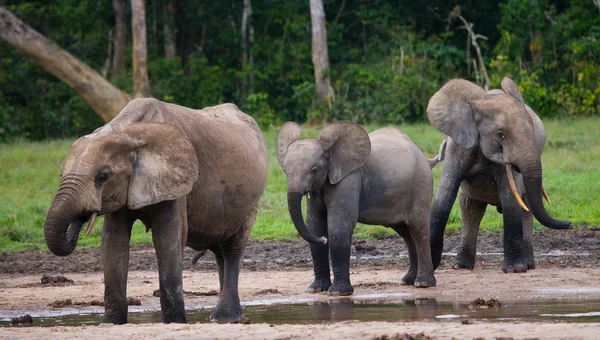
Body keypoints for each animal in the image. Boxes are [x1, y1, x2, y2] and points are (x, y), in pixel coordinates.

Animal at [276, 121, 436, 294]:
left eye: (314, 170)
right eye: (284, 171)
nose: (324, 240)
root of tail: (422, 154)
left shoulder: (349, 178)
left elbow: (338, 227)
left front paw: (338, 292)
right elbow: (315, 226)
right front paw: (316, 289)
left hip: (421, 183)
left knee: (418, 230)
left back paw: (423, 283)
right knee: (406, 233)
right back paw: (408, 281)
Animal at [426, 76, 572, 274]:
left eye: (533, 131)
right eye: (501, 135)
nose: (570, 223)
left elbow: (510, 200)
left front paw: (515, 270)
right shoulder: (457, 147)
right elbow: (444, 196)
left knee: (525, 209)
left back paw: (528, 265)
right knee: (470, 209)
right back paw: (462, 266)